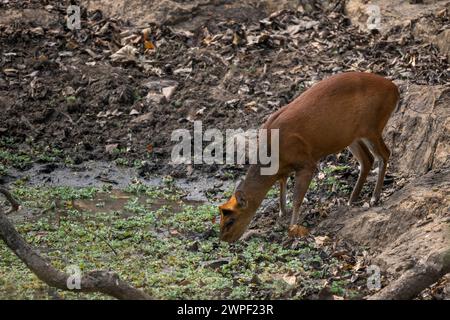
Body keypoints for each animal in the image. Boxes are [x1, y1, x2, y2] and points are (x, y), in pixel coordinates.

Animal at [220, 72, 400, 242]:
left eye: (231, 220)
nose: (224, 240)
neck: (274, 155)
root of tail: (395, 90)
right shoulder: (285, 169)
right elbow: (282, 187)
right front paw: (281, 216)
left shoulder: (306, 163)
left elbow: (297, 198)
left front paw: (292, 227)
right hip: (351, 135)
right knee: (367, 159)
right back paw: (352, 199)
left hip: (372, 126)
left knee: (384, 154)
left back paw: (374, 197)